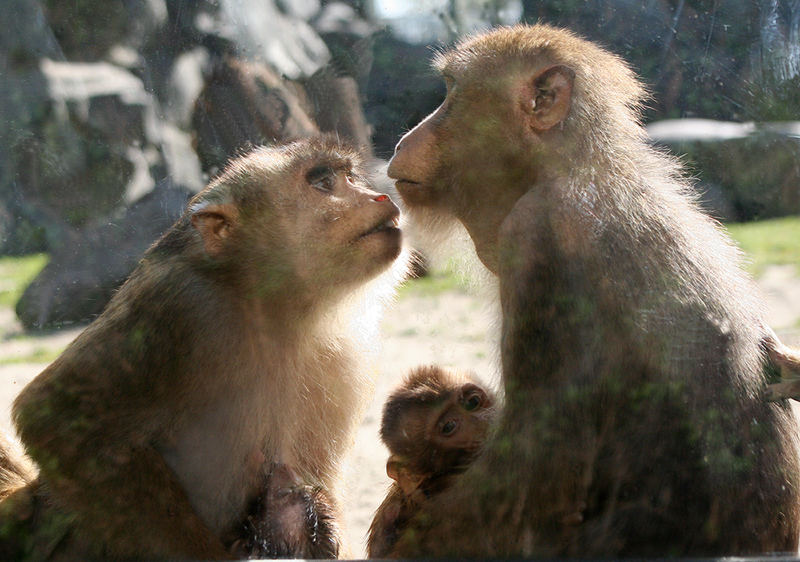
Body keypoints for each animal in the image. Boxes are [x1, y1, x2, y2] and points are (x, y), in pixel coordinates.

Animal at [0, 135, 410, 556]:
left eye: (349, 177)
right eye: (323, 182)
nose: (379, 196)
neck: (274, 311)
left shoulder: (349, 355)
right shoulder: (178, 306)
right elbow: (54, 419)